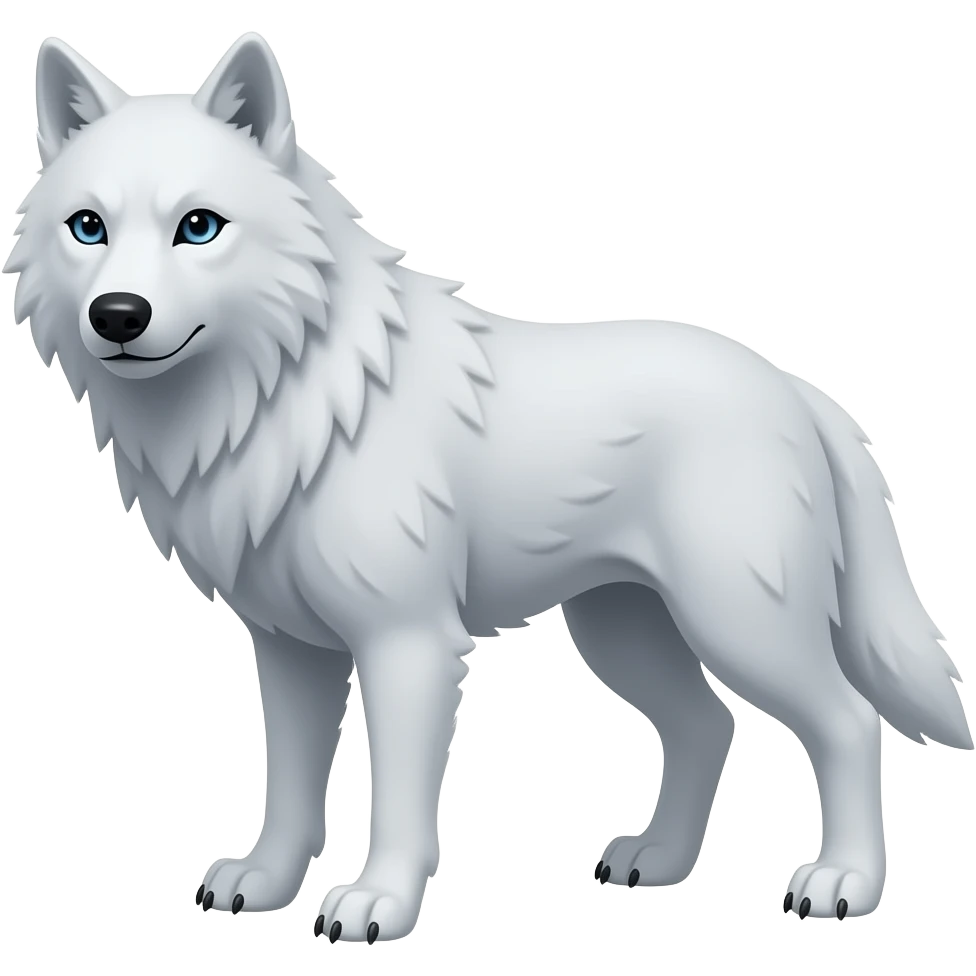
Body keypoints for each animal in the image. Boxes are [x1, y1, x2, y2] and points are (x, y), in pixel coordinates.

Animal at [5, 31, 971, 942]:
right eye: (88, 228)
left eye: (199, 227)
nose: (117, 317)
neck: (292, 397)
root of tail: (799, 389)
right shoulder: (290, 650)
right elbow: (290, 788)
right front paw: (266, 885)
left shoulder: (408, 643)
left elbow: (397, 800)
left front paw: (377, 906)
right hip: (622, 633)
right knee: (709, 725)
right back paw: (659, 861)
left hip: (740, 625)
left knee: (849, 723)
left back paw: (843, 884)